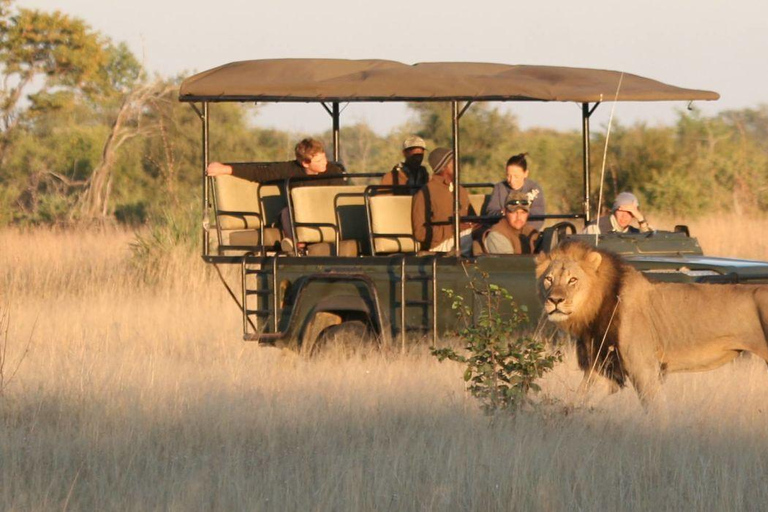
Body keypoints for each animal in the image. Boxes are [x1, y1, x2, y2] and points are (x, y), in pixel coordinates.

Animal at [536, 242, 768, 406]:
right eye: (548, 279)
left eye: (572, 280)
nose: (554, 300)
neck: (594, 307)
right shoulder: (603, 367)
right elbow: (578, 403)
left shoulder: (643, 366)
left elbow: (656, 410)